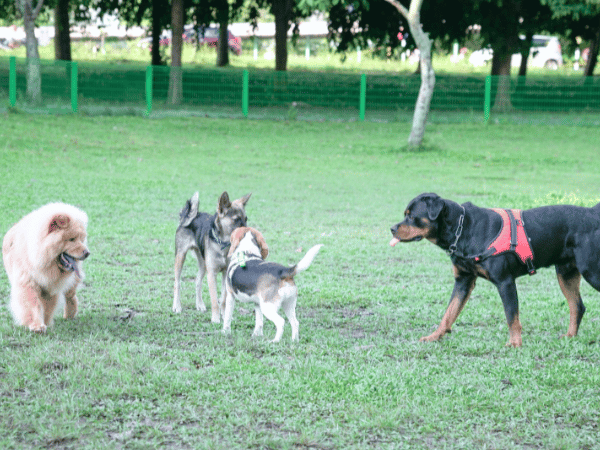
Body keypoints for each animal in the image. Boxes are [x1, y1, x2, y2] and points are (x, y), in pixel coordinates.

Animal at [2, 202, 90, 332]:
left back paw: (69, 315)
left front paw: (46, 322)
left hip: (72, 280)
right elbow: (33, 304)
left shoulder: (51, 286)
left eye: (81, 239)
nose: (87, 253)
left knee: (71, 296)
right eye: (72, 239)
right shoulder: (27, 282)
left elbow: (48, 306)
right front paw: (38, 326)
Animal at [172, 192, 250, 322]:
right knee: (177, 283)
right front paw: (215, 319)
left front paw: (224, 315)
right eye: (236, 220)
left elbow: (223, 299)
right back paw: (177, 306)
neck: (223, 244)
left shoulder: (225, 274)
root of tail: (187, 217)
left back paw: (200, 304)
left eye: (246, 219)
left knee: (197, 281)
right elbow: (214, 300)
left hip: (203, 264)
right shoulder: (212, 274)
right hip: (180, 258)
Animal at [392, 193, 600, 348]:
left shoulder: (505, 282)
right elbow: (449, 313)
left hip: (591, 271)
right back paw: (570, 336)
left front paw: (515, 343)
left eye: (411, 216)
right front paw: (434, 336)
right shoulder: (463, 281)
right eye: (405, 214)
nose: (392, 228)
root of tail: (592, 213)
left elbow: (511, 316)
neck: (464, 229)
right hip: (566, 273)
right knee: (577, 306)